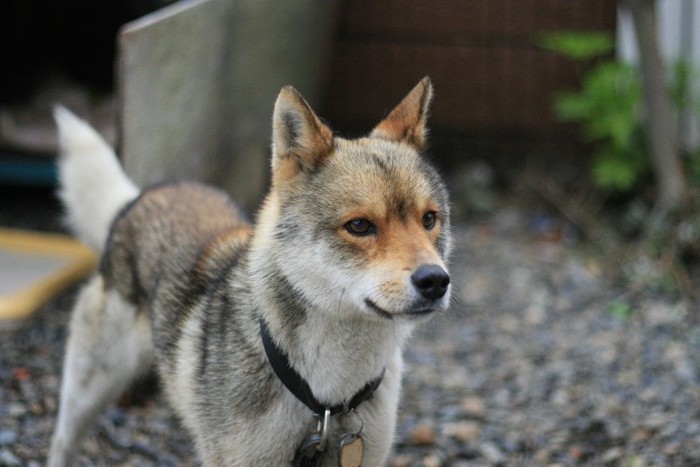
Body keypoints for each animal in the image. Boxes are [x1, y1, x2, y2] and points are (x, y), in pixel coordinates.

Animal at [47, 78, 454, 466]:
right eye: (359, 226)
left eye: (429, 219)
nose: (435, 280)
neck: (327, 403)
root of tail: (136, 199)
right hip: (87, 390)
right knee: (62, 442)